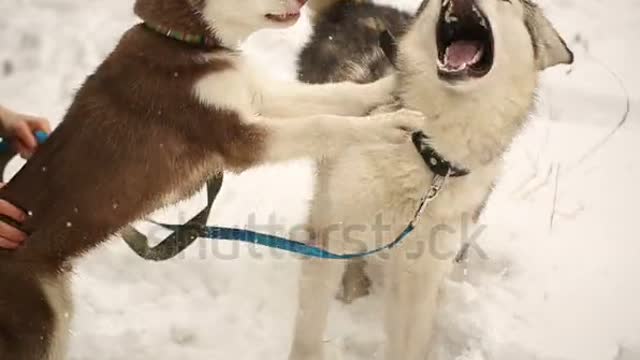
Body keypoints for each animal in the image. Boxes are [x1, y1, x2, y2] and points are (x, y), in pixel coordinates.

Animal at [292, 0, 572, 360]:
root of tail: (357, 7)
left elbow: (410, 341)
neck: (431, 159)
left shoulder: (420, 275)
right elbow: (309, 331)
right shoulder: (331, 234)